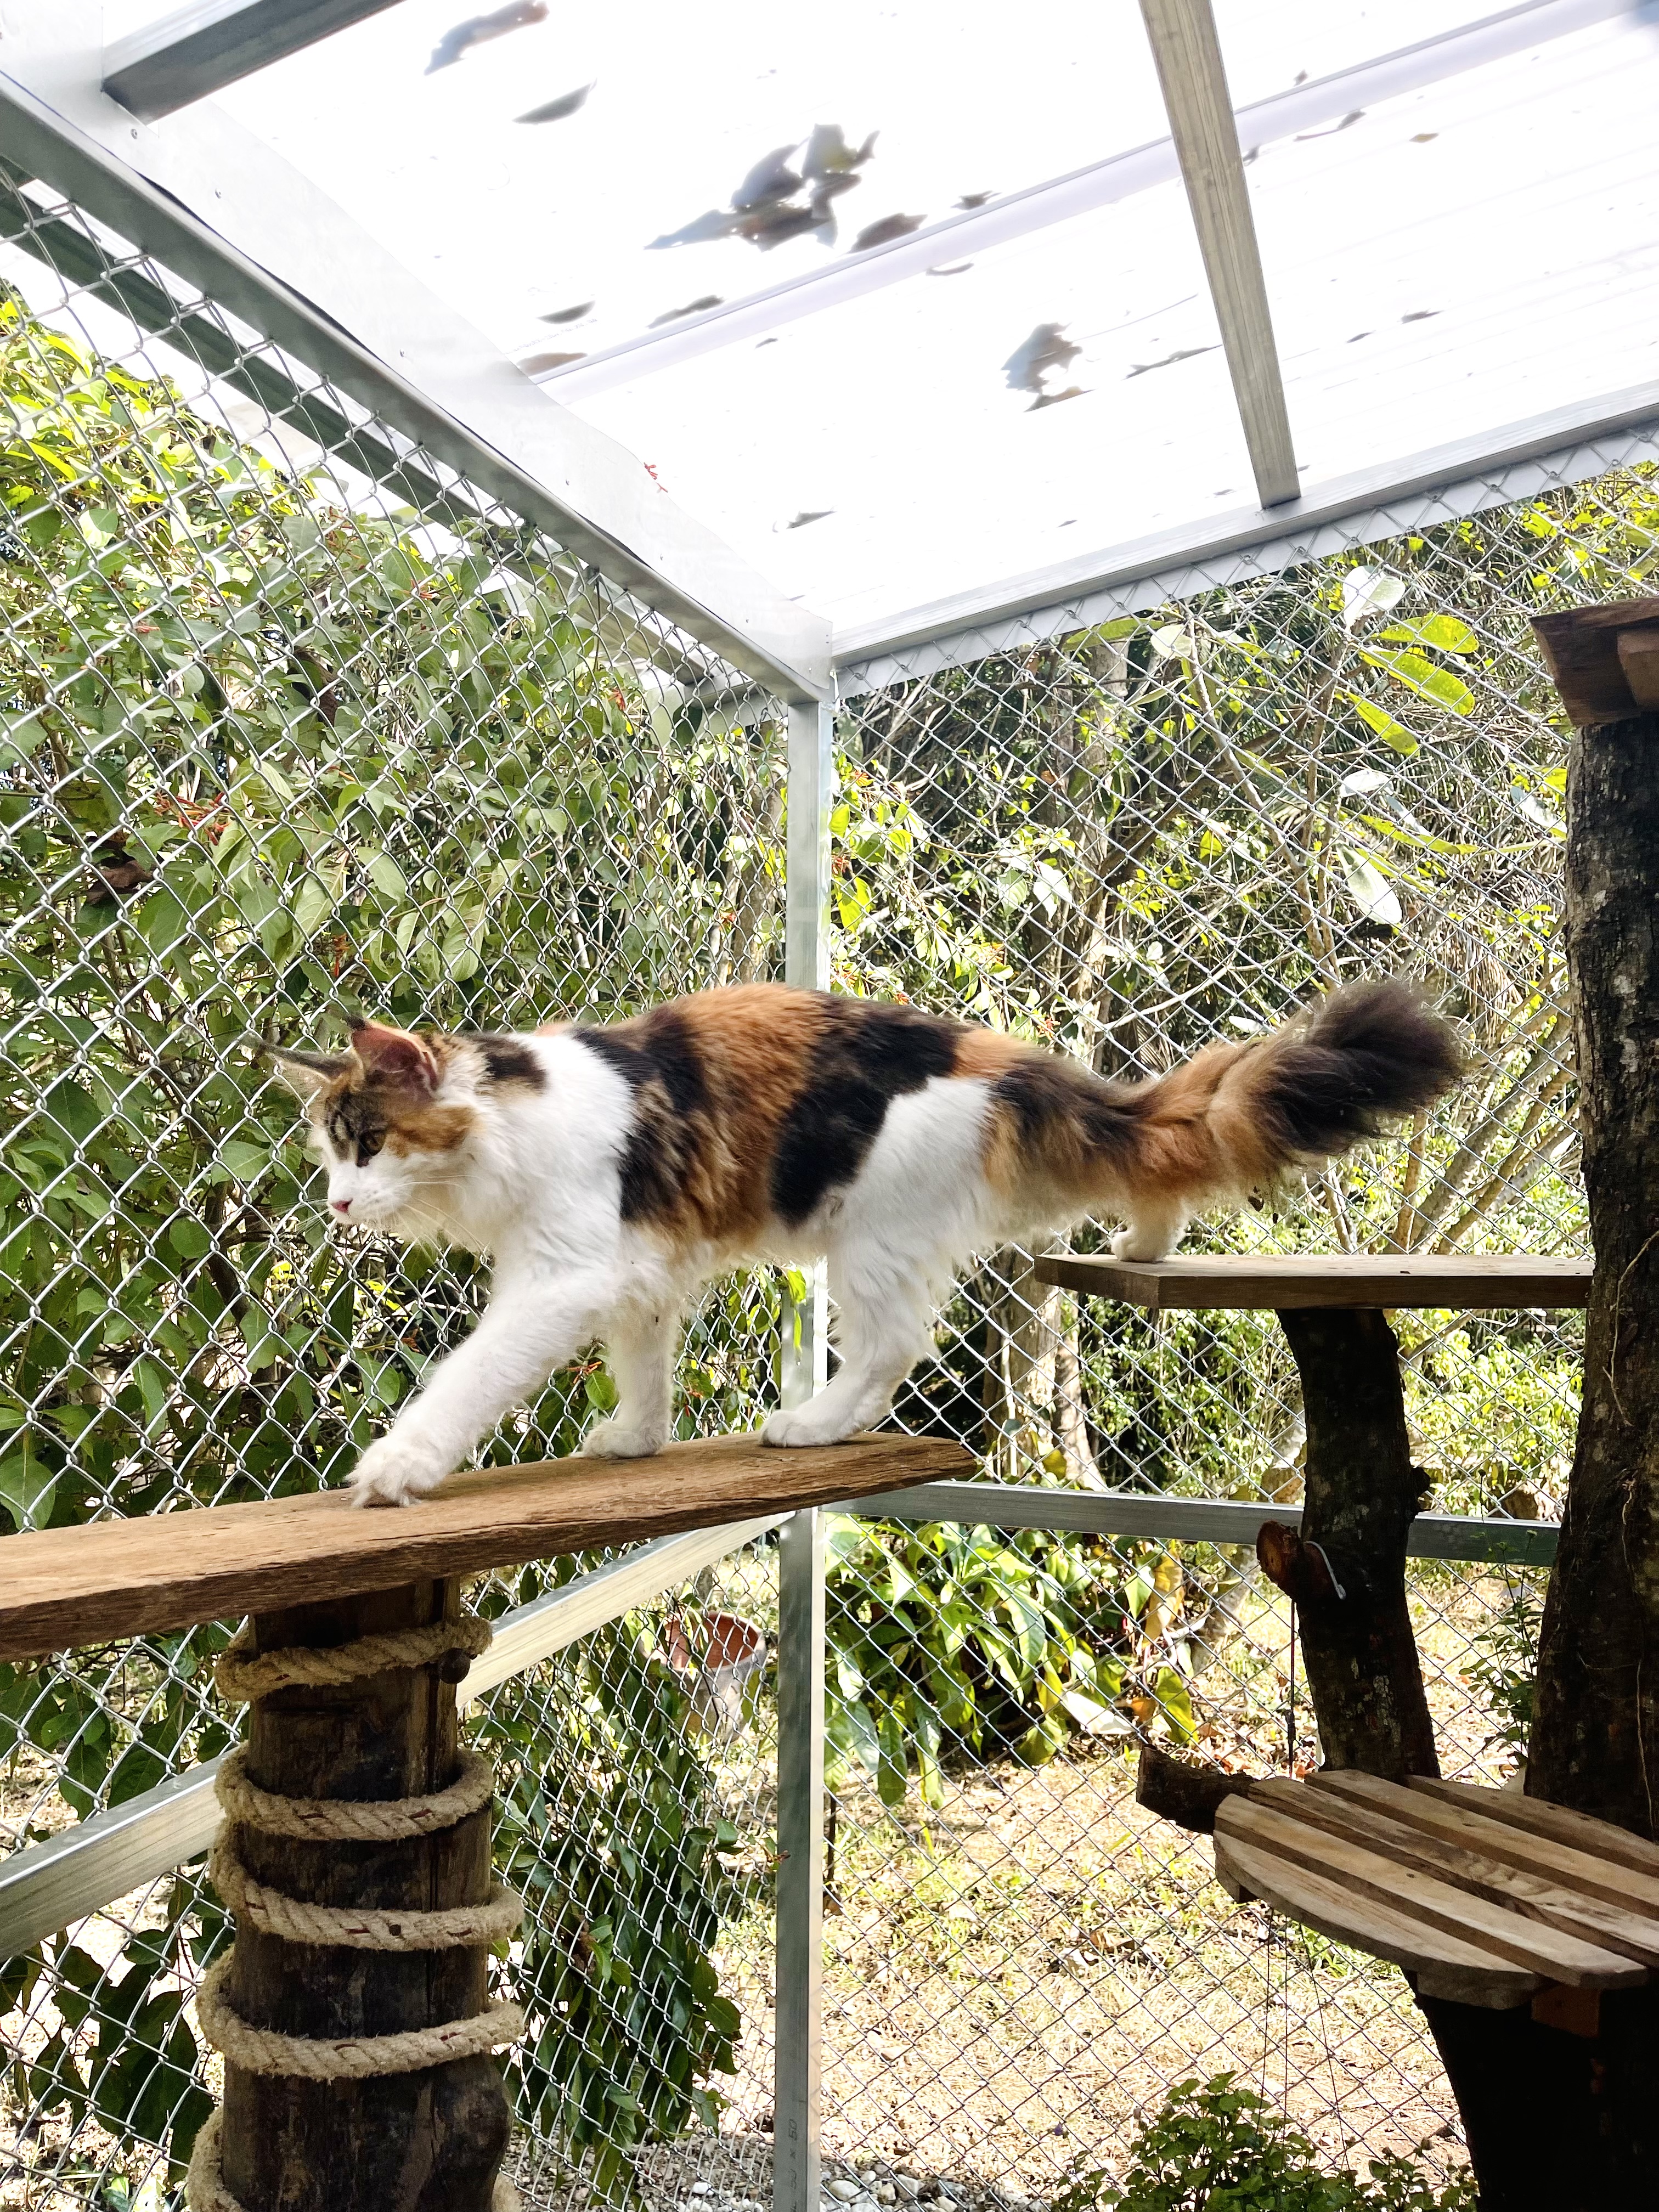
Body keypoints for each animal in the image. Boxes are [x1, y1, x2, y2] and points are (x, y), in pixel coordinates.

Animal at [259, 982, 1451, 1513]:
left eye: (367, 1143)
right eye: (329, 1151)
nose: (338, 1206)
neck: (515, 1117)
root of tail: (1000, 1056)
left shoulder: (563, 1274)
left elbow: (466, 1379)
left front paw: (398, 1466)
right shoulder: (638, 1269)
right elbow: (645, 1368)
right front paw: (638, 1443)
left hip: (867, 1238)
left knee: (888, 1353)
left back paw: (813, 1425)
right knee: (1155, 1168)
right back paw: (1141, 1245)